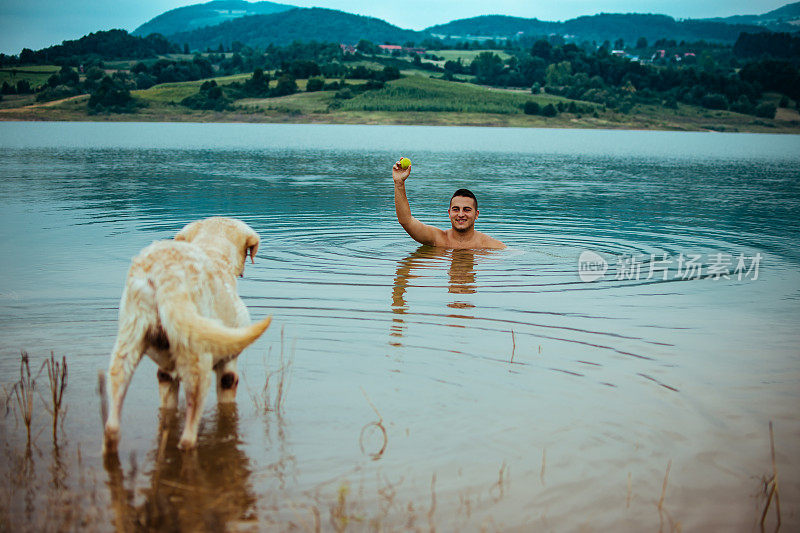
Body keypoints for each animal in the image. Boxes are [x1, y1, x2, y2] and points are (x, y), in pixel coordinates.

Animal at [101, 215, 272, 448]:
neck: (213, 251)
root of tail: (164, 271)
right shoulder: (228, 367)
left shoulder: (166, 374)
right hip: (199, 364)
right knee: (188, 438)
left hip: (127, 346)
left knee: (112, 426)